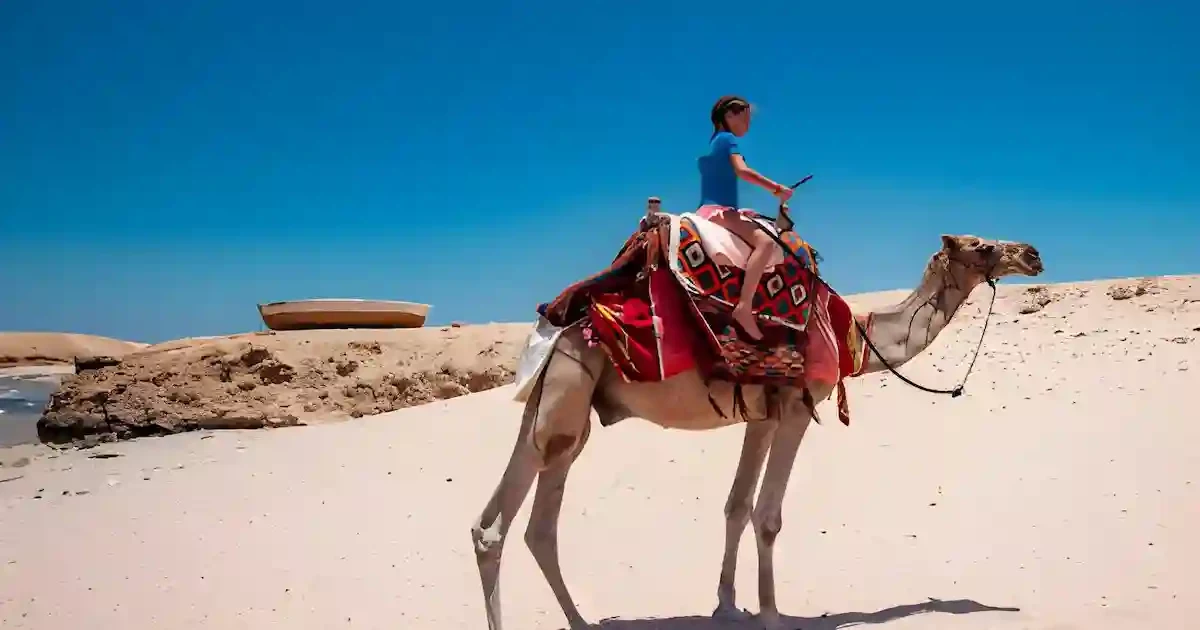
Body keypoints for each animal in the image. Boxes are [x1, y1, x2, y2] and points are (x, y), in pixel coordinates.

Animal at [470, 231, 1044, 630]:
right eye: (982, 245)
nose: (1032, 253)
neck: (849, 336)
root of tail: (553, 324)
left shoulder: (762, 417)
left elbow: (736, 507)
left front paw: (728, 606)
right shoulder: (794, 411)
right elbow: (767, 517)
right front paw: (771, 615)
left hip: (563, 409)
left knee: (529, 526)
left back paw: (580, 621)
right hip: (565, 394)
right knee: (500, 526)